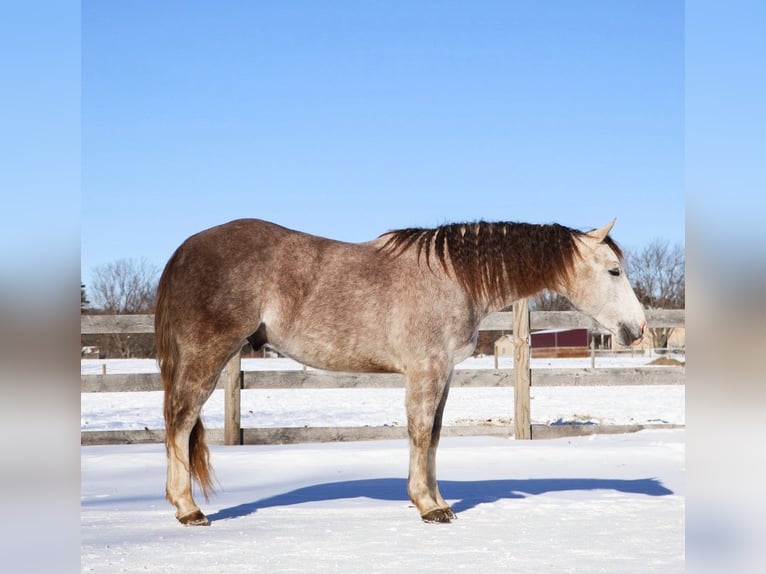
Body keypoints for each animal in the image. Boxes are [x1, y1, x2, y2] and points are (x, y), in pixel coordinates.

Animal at [155, 217, 646, 526]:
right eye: (613, 270)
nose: (638, 329)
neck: (454, 277)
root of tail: (184, 250)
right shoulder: (425, 371)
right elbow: (420, 433)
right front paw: (428, 506)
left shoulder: (443, 373)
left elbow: (435, 437)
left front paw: (438, 500)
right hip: (207, 356)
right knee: (179, 423)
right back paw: (188, 510)